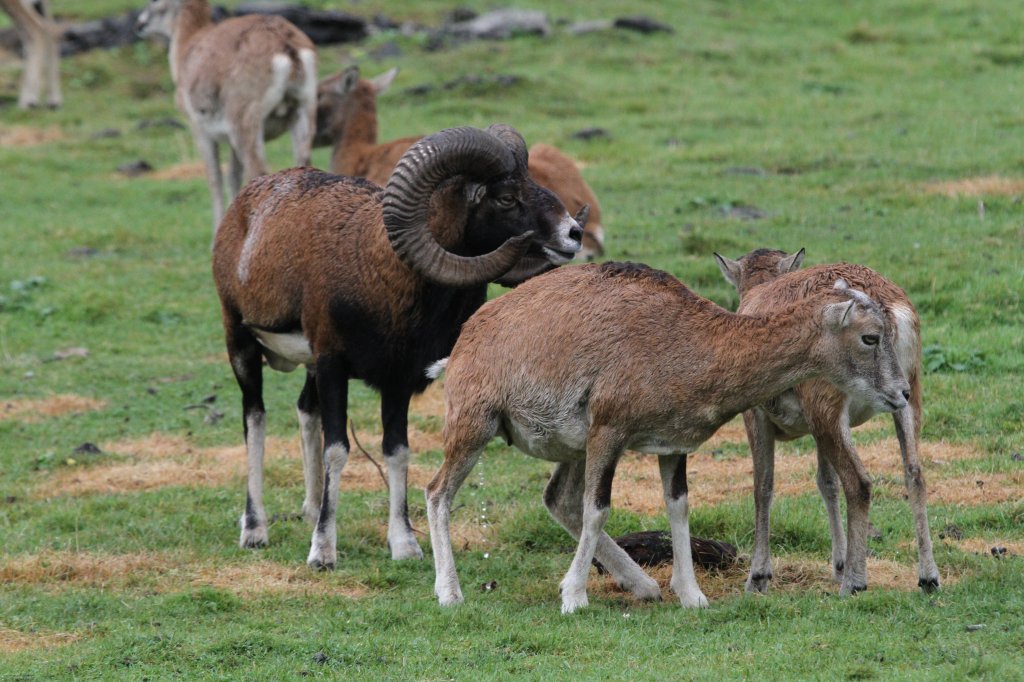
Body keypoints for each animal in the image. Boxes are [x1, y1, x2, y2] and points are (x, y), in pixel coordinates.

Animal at [428, 260, 909, 610]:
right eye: (870, 337)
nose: (901, 392)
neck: (684, 345)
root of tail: (463, 341)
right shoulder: (609, 429)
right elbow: (597, 509)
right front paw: (574, 597)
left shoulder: (673, 444)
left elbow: (677, 508)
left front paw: (691, 595)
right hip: (473, 423)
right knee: (438, 493)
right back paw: (450, 592)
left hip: (571, 449)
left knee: (557, 499)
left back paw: (642, 584)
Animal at [716, 246, 937, 593]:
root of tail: (888, 309)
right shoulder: (818, 428)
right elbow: (826, 482)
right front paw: (838, 563)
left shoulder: (756, 414)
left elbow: (763, 485)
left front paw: (758, 577)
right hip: (908, 390)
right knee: (914, 473)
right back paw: (928, 578)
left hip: (826, 402)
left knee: (859, 481)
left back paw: (855, 583)